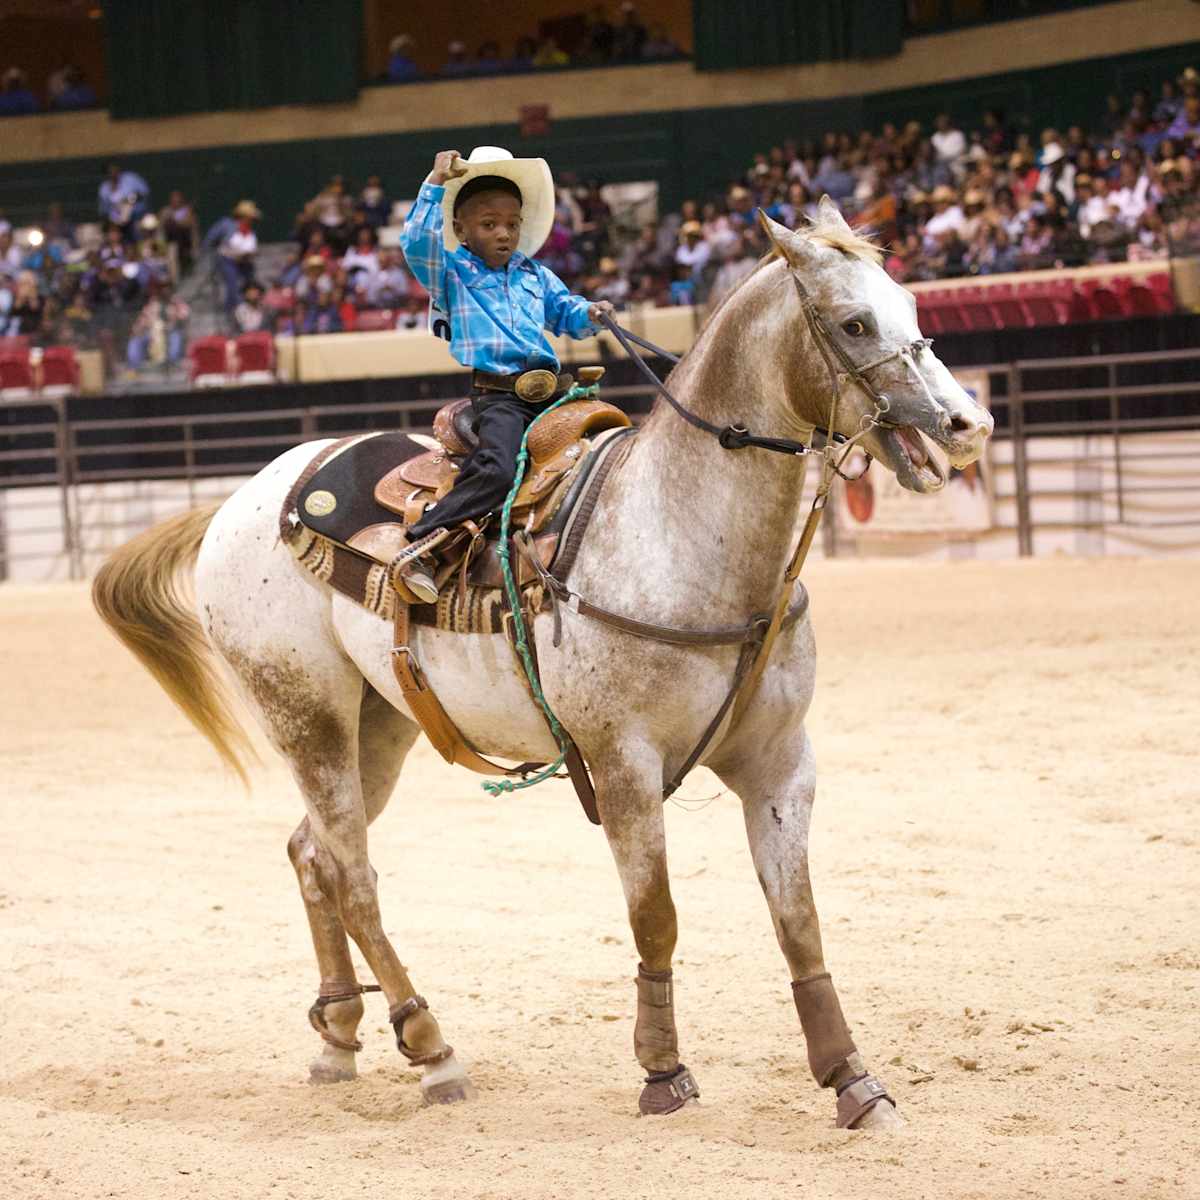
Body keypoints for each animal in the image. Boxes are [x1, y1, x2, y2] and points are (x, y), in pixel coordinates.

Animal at [93, 201, 993, 1118]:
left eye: (912, 308)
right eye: (853, 323)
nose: (969, 427)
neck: (679, 534)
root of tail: (239, 500)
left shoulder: (780, 762)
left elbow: (798, 919)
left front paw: (853, 1079)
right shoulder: (625, 764)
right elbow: (656, 916)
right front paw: (662, 1072)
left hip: (377, 723)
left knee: (312, 855)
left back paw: (339, 1039)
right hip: (303, 712)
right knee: (352, 874)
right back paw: (432, 1048)